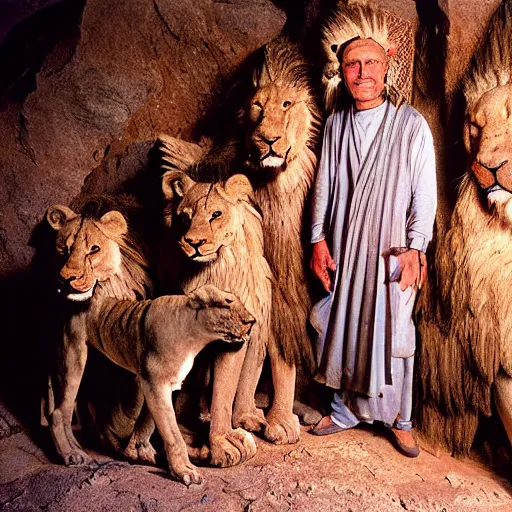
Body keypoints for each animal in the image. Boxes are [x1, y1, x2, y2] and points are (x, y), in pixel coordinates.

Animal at [43, 195, 255, 484]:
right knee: (57, 413)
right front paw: (184, 470)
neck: (195, 334)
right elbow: (172, 433)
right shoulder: (154, 382)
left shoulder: (160, 383)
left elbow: (149, 422)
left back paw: (79, 450)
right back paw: (71, 455)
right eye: (227, 304)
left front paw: (140, 450)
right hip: (73, 360)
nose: (252, 321)